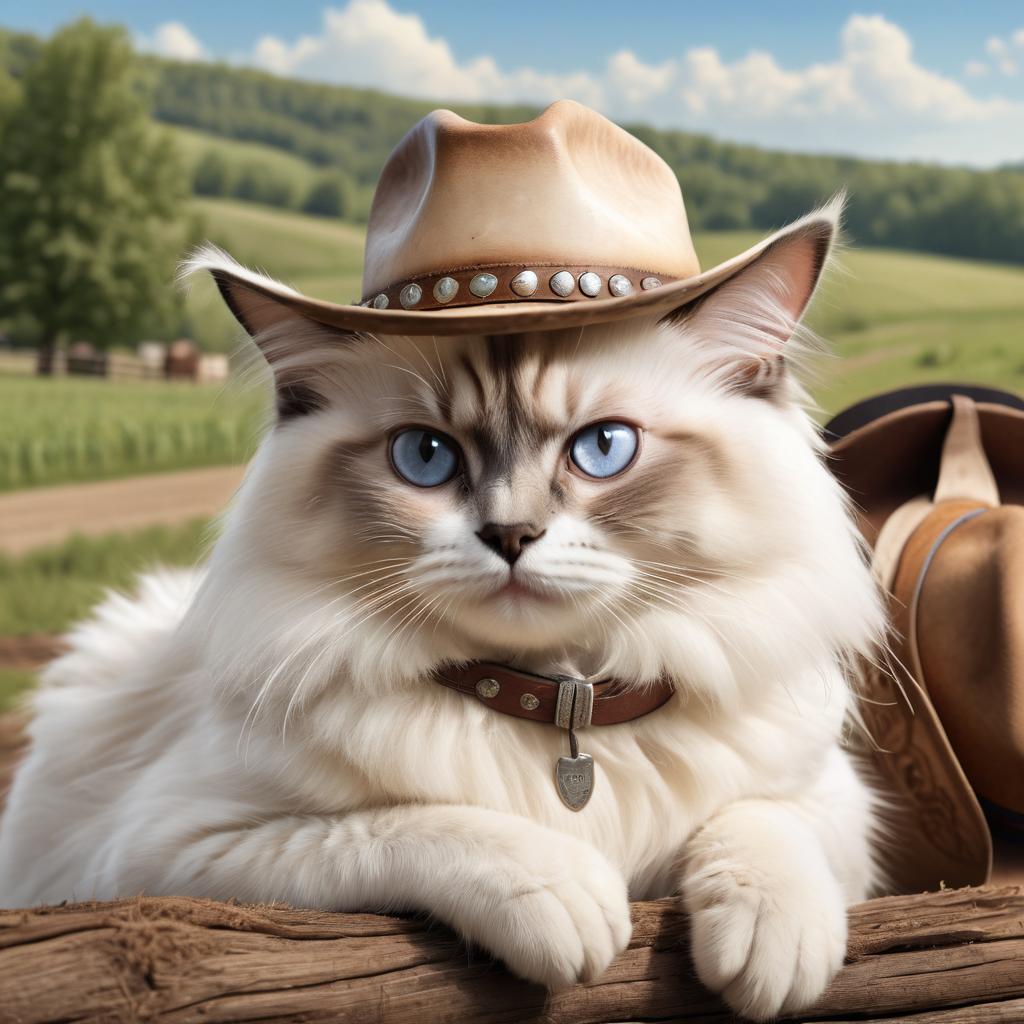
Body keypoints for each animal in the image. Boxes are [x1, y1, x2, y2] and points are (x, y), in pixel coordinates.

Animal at [0, 203, 884, 1019]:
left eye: (603, 448)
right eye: (425, 457)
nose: (510, 535)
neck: (561, 706)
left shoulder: (834, 805)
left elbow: (764, 820)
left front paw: (773, 953)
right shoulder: (175, 854)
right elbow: (412, 825)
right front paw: (575, 905)